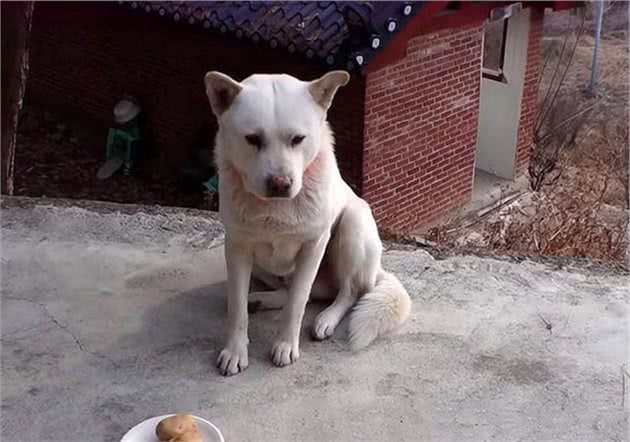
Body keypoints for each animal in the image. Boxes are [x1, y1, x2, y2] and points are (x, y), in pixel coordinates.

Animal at [205, 71, 412, 374]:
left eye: (298, 139)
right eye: (252, 139)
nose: (280, 183)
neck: (276, 208)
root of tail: (376, 272)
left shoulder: (313, 245)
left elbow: (297, 302)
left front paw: (285, 345)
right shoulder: (236, 247)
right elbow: (237, 306)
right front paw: (235, 350)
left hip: (353, 225)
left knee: (347, 291)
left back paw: (326, 318)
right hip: (262, 267)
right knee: (301, 290)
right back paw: (261, 299)